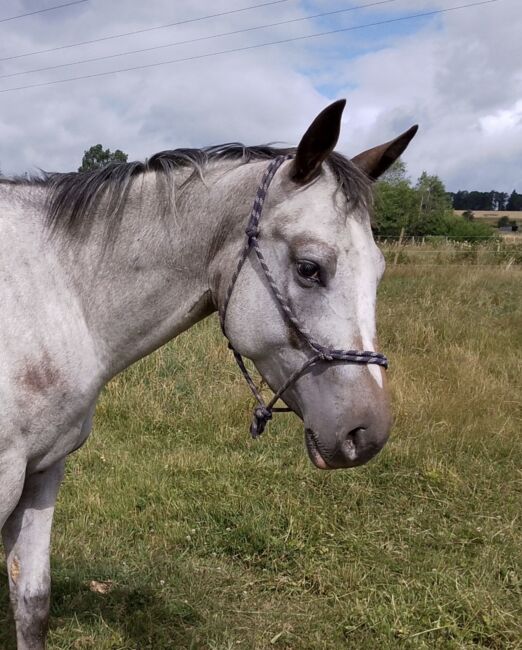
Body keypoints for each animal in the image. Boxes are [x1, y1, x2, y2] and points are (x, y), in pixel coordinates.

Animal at [0, 98, 414, 644]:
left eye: (380, 270)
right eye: (309, 268)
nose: (366, 434)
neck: (54, 292)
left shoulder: (43, 471)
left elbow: (32, 603)